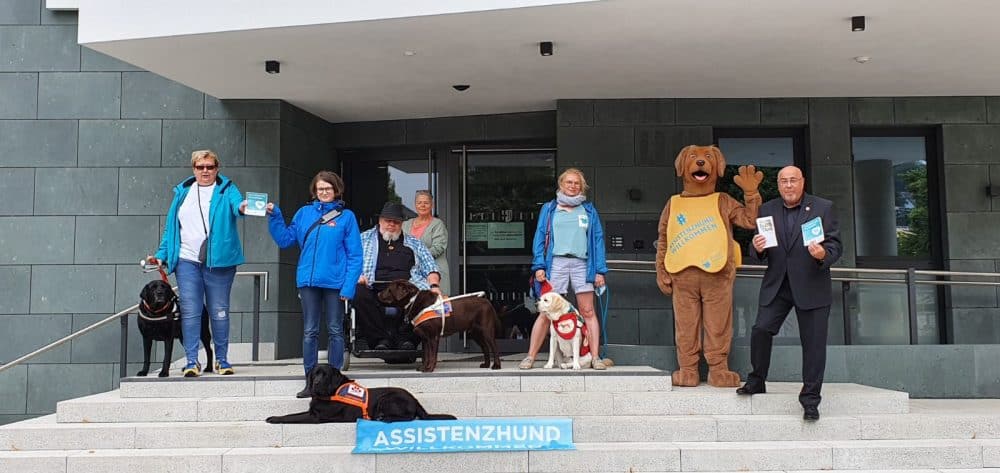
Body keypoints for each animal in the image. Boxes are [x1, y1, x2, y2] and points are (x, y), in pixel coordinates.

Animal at [264, 364, 456, 422]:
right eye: (315, 374)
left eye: (325, 375)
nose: (316, 383)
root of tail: (415, 400)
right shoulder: (311, 411)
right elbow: (292, 414)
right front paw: (273, 416)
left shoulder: (315, 417)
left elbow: (292, 418)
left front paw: (275, 419)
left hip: (387, 398)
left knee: (408, 417)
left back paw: (384, 418)